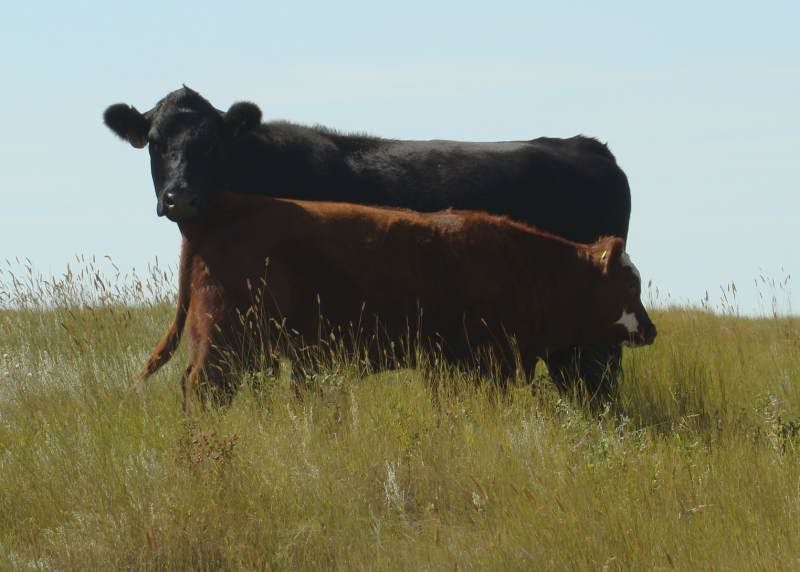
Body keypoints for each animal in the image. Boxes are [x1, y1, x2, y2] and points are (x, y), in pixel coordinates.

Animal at [137, 191, 656, 413]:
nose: (651, 329)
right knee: (204, 386)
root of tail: (227, 206)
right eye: (630, 284)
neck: (524, 264)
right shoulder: (488, 361)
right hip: (227, 338)